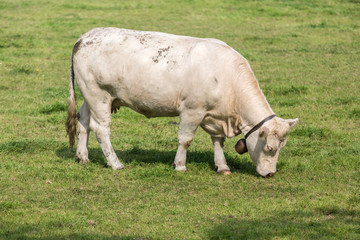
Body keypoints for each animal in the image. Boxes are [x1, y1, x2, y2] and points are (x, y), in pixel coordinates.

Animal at [66, 27, 296, 176]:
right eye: (269, 148)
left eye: (282, 147)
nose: (270, 173)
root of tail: (85, 36)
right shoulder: (192, 110)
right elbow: (185, 139)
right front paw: (180, 165)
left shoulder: (216, 115)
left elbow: (218, 141)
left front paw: (222, 166)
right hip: (99, 95)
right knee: (101, 129)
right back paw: (115, 163)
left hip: (90, 96)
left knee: (83, 121)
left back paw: (82, 156)